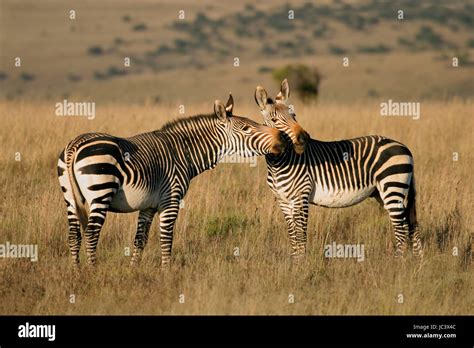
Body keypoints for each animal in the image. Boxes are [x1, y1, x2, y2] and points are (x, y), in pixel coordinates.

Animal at [56, 95, 286, 266]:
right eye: (246, 129)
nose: (280, 141)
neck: (182, 152)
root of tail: (74, 146)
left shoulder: (148, 204)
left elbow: (140, 239)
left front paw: (133, 271)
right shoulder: (171, 199)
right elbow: (167, 238)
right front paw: (166, 273)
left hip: (70, 199)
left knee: (74, 235)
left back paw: (77, 272)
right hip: (101, 191)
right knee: (91, 234)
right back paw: (93, 271)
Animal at [254, 79, 424, 258]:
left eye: (293, 116)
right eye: (274, 120)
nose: (304, 138)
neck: (278, 163)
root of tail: (404, 147)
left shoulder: (301, 196)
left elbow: (300, 234)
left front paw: (301, 262)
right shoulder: (284, 201)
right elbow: (293, 235)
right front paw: (295, 261)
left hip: (392, 187)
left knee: (402, 228)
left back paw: (398, 261)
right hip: (385, 193)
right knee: (411, 225)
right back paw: (418, 261)